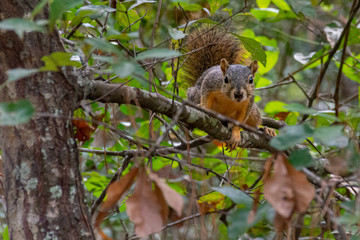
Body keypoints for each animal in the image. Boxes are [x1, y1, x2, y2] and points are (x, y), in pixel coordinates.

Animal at [180, 22, 276, 150]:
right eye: (225, 79)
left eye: (251, 80)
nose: (238, 94)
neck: (230, 99)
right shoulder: (210, 81)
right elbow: (205, 96)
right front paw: (203, 106)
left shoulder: (248, 103)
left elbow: (239, 122)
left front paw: (236, 135)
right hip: (194, 94)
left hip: (254, 113)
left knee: (253, 124)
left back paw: (265, 129)